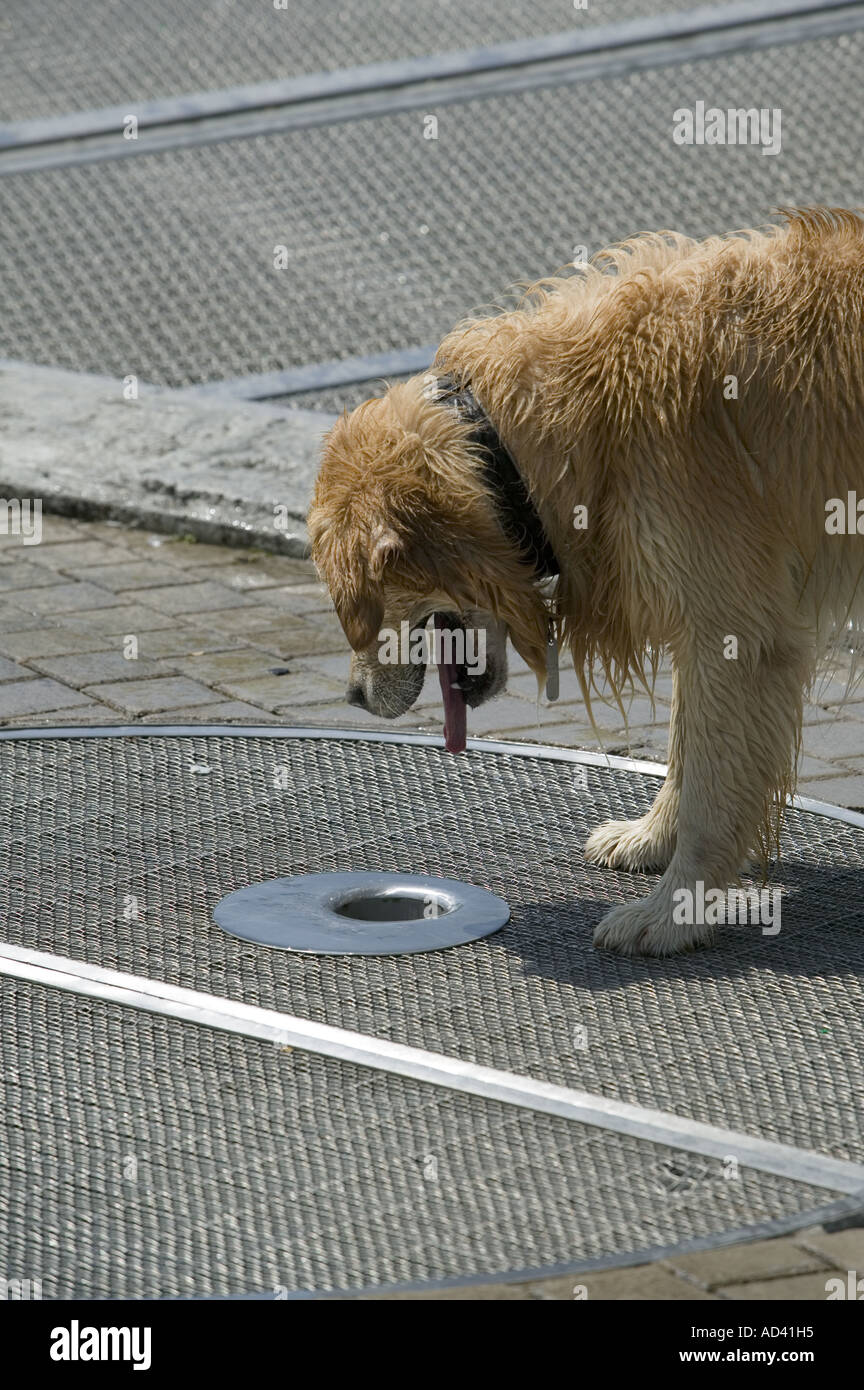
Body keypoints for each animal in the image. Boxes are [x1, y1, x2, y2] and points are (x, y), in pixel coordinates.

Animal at [309, 208, 864, 956]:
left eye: (360, 610)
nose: (354, 698)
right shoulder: (704, 611)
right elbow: (685, 750)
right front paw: (652, 839)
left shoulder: (736, 628)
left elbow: (711, 787)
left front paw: (673, 912)